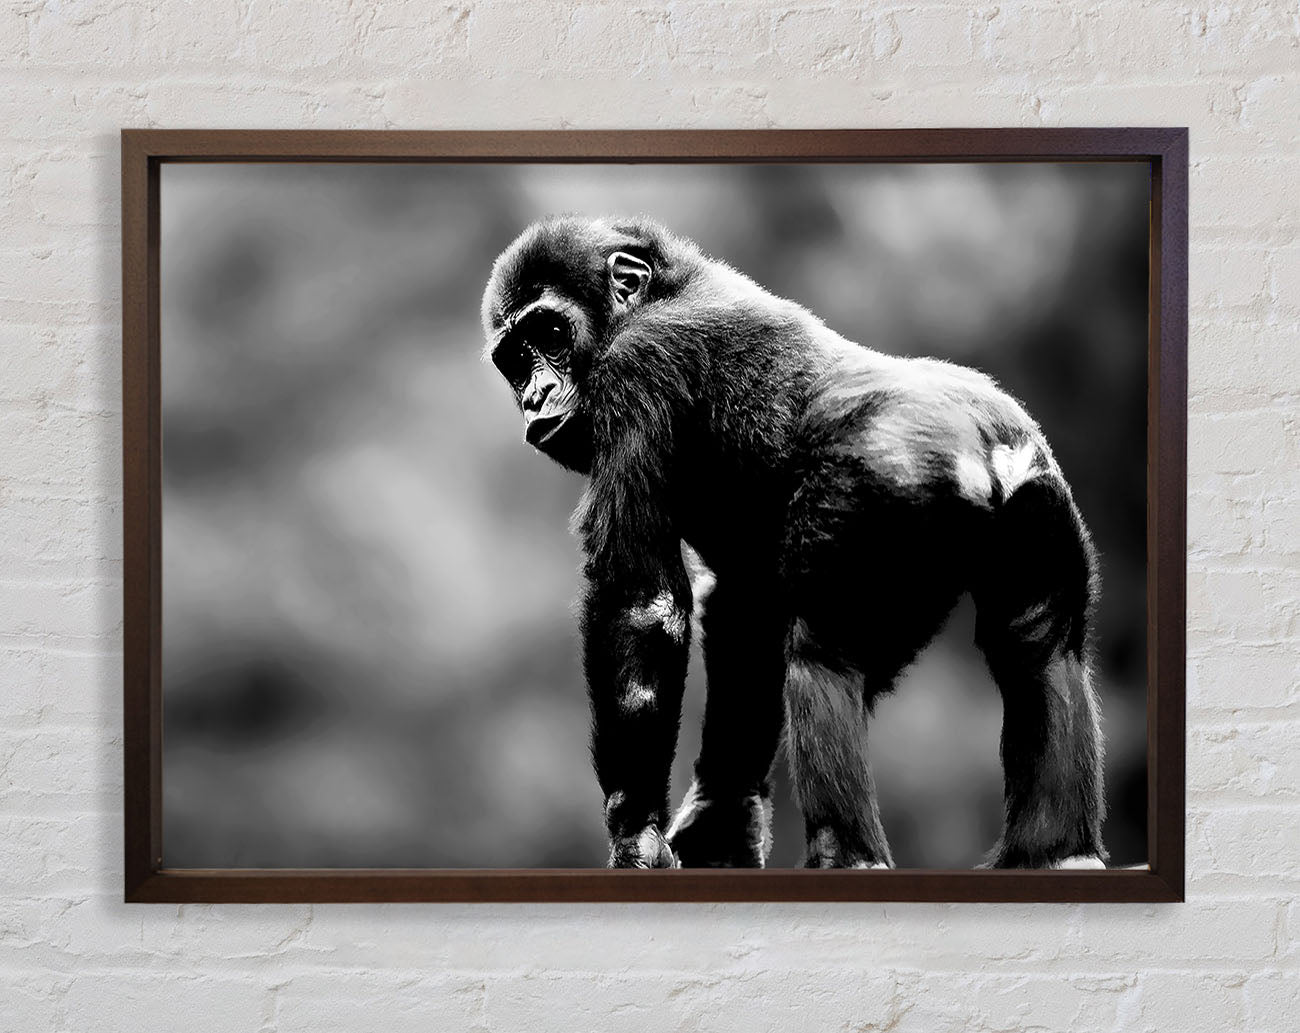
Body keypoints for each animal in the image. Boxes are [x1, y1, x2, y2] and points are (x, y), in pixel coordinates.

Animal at [480, 215, 1107, 871]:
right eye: (515, 361)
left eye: (550, 334)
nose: (535, 396)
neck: (658, 293)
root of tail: (983, 445)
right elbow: (746, 617)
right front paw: (720, 823)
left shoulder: (636, 368)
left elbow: (641, 606)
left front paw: (636, 833)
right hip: (1037, 494)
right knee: (1038, 646)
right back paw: (1057, 854)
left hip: (882, 487)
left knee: (823, 656)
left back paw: (848, 855)